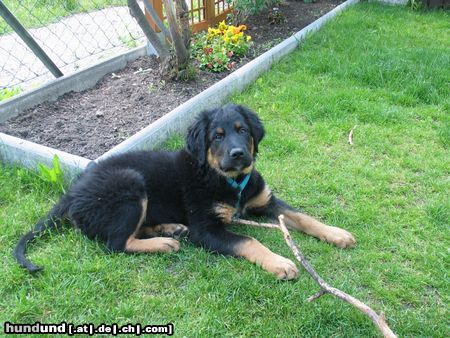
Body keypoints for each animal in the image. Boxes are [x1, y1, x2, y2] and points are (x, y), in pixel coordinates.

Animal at [14, 104, 356, 278]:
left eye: (242, 130)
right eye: (217, 136)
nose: (238, 154)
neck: (230, 180)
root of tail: (71, 193)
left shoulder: (265, 200)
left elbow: (303, 216)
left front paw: (337, 233)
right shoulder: (206, 228)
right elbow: (249, 240)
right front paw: (279, 263)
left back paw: (170, 229)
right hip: (130, 184)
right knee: (115, 243)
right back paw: (164, 242)